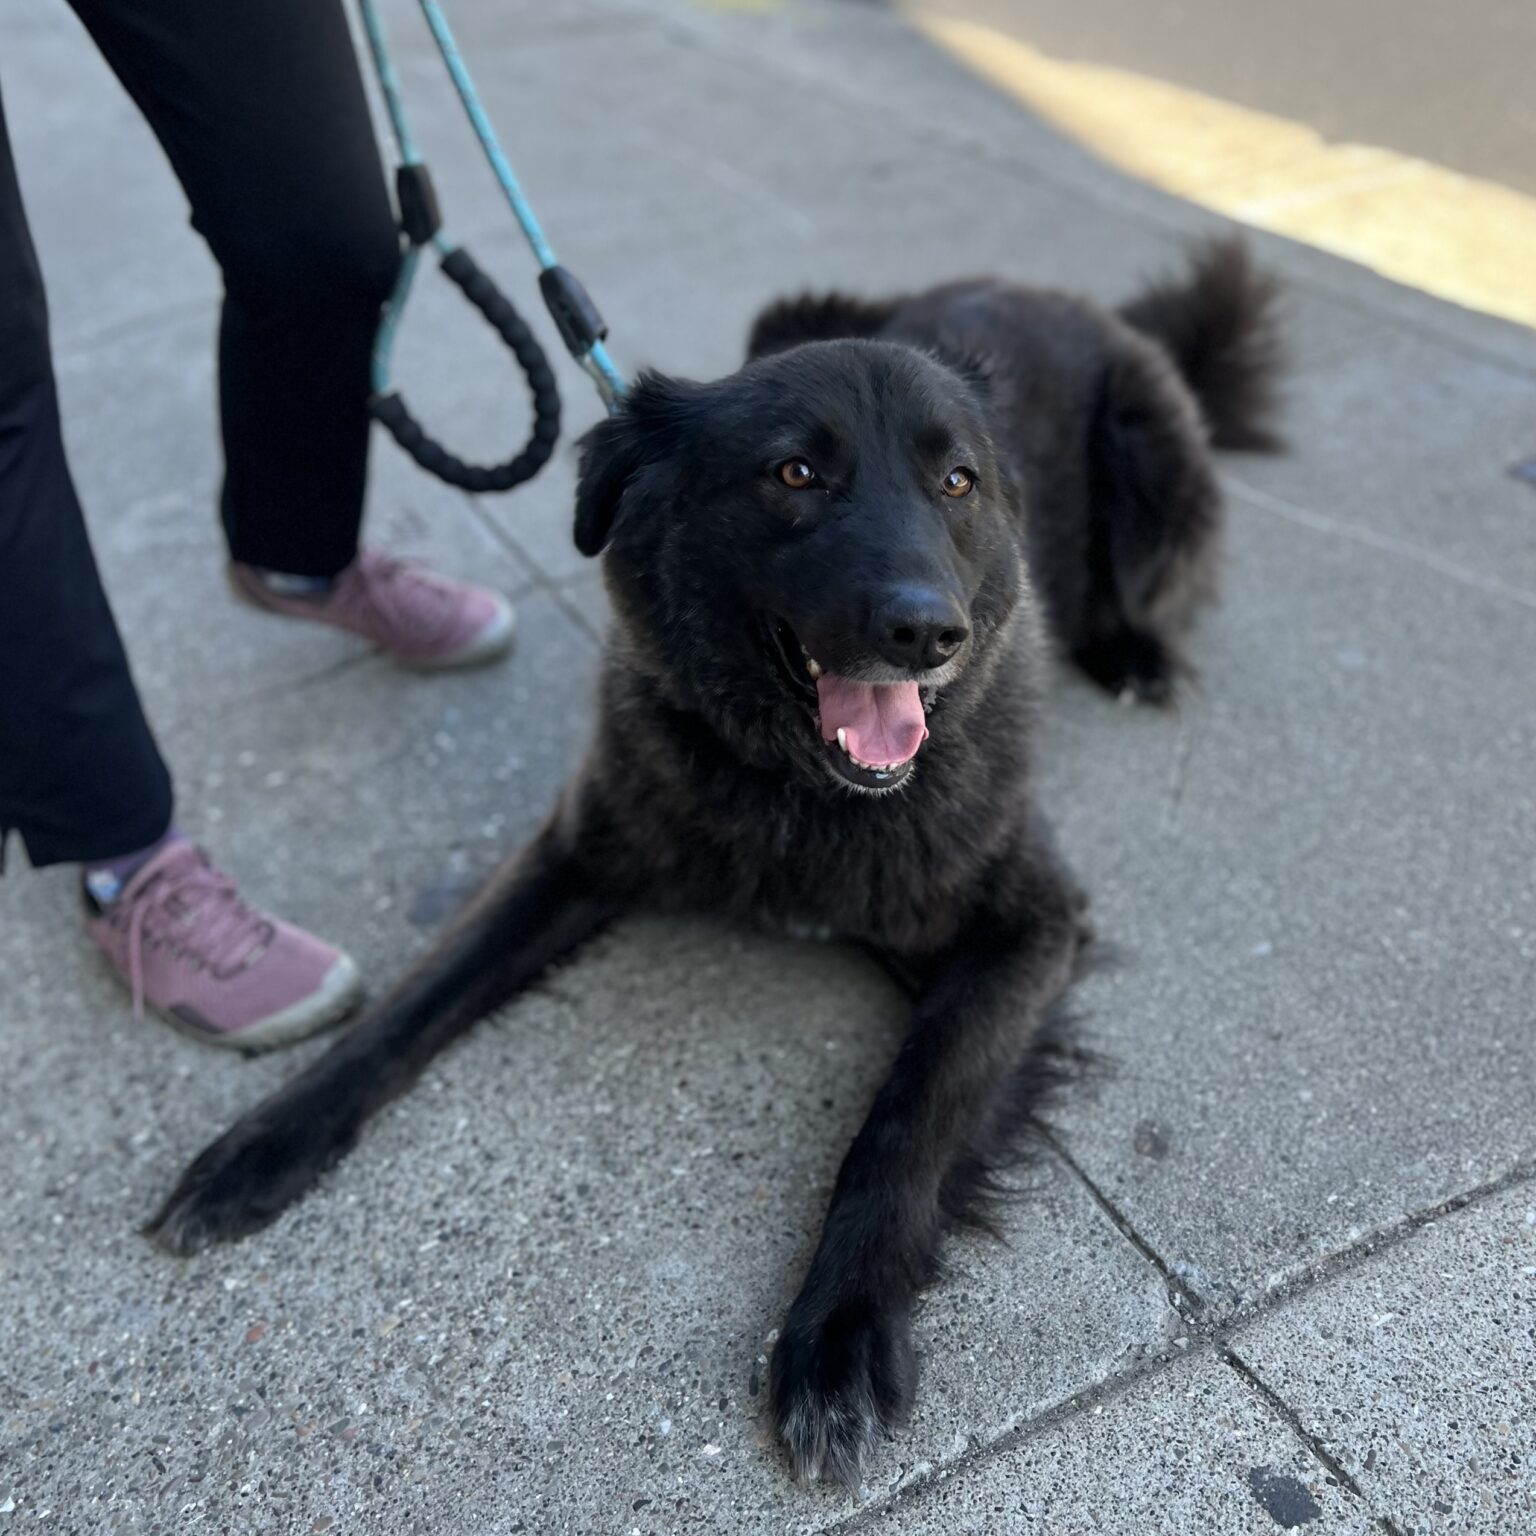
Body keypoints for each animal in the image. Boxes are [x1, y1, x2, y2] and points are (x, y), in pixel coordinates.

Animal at [149, 239, 1284, 1486]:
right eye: (795, 473)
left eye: (957, 484)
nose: (927, 633)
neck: (798, 790)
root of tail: (1077, 302)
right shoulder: (576, 850)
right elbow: (415, 1000)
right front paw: (266, 1142)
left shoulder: (1030, 922)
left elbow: (906, 1120)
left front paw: (836, 1336)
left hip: (1149, 469)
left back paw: (1133, 650)